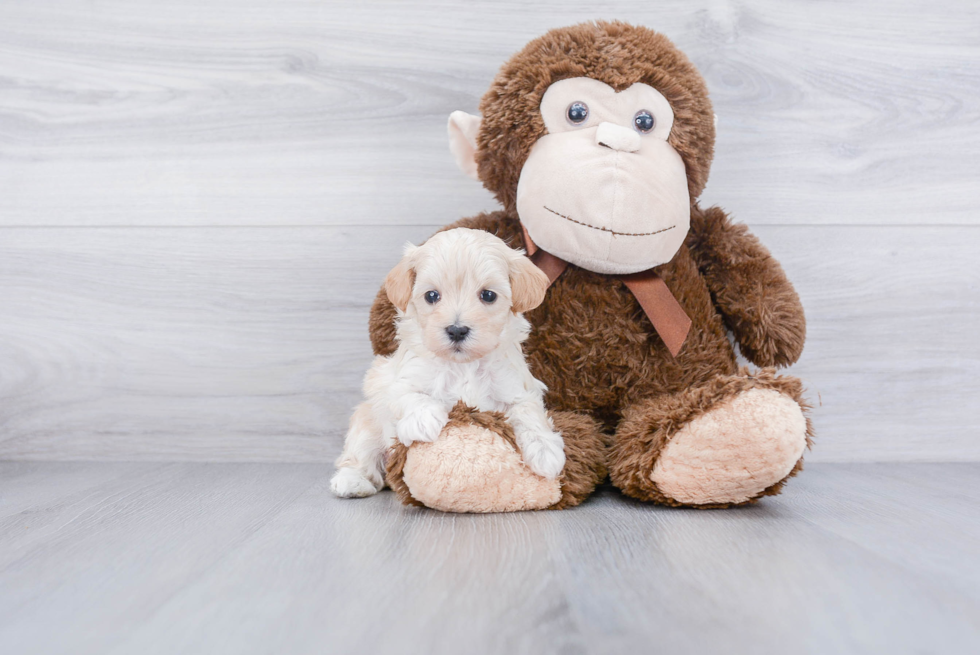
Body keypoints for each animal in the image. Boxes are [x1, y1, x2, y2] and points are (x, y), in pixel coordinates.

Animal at [330, 228, 564, 500]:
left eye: (488, 295)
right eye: (432, 296)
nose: (457, 330)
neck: (463, 365)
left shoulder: (517, 388)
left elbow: (529, 412)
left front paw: (546, 450)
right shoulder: (395, 379)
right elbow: (407, 395)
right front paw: (424, 419)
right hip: (366, 424)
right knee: (359, 456)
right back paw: (352, 481)